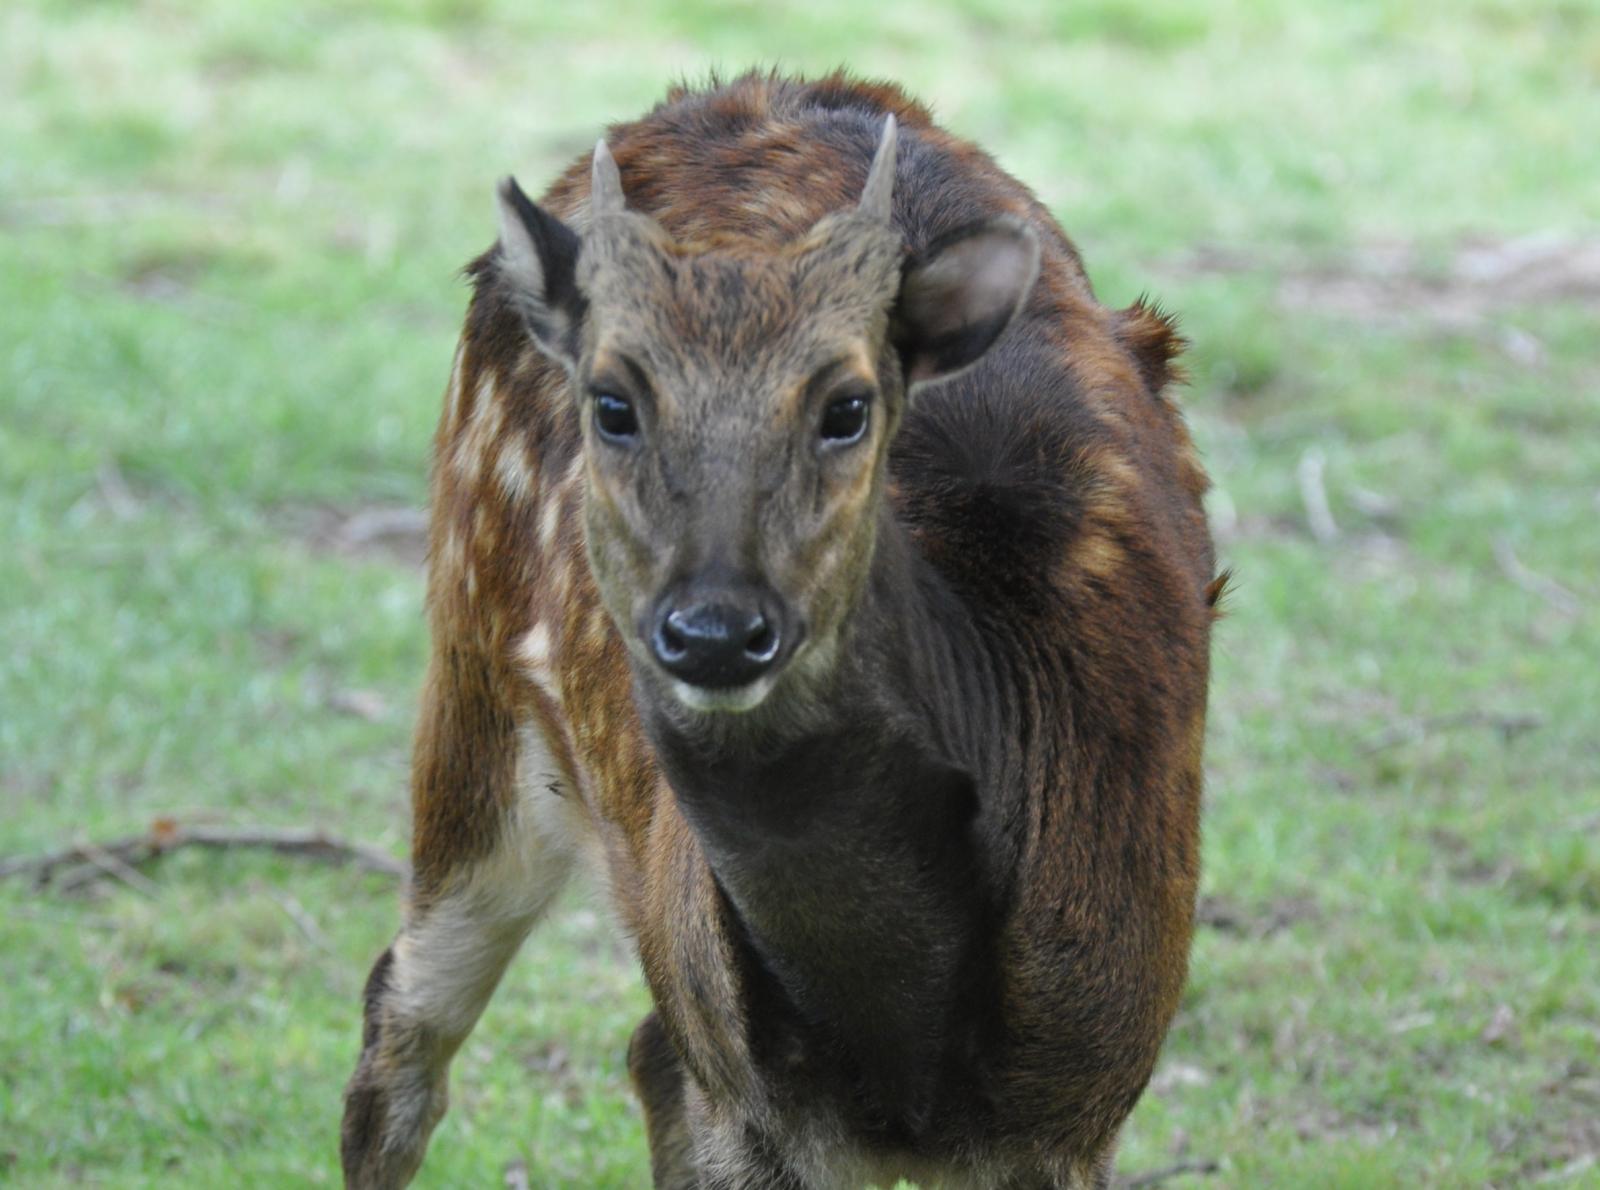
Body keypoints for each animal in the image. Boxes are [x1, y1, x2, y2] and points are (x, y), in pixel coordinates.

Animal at [334, 69, 1209, 1183]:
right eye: (611, 402)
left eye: (847, 407)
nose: (714, 629)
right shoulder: (753, 1104)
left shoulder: (1080, 1094)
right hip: (472, 651)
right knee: (403, 1020)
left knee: (643, 1045)